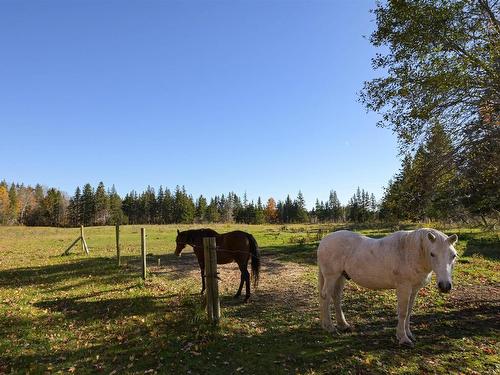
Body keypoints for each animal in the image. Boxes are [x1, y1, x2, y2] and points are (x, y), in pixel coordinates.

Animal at [318, 228, 458, 346]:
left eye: (453, 255)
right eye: (432, 254)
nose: (445, 286)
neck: (410, 253)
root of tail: (325, 240)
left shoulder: (414, 290)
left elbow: (409, 311)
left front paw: (409, 334)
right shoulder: (403, 288)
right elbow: (403, 312)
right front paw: (403, 338)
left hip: (340, 277)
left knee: (336, 297)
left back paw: (343, 325)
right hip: (331, 276)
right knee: (326, 297)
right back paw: (329, 327)